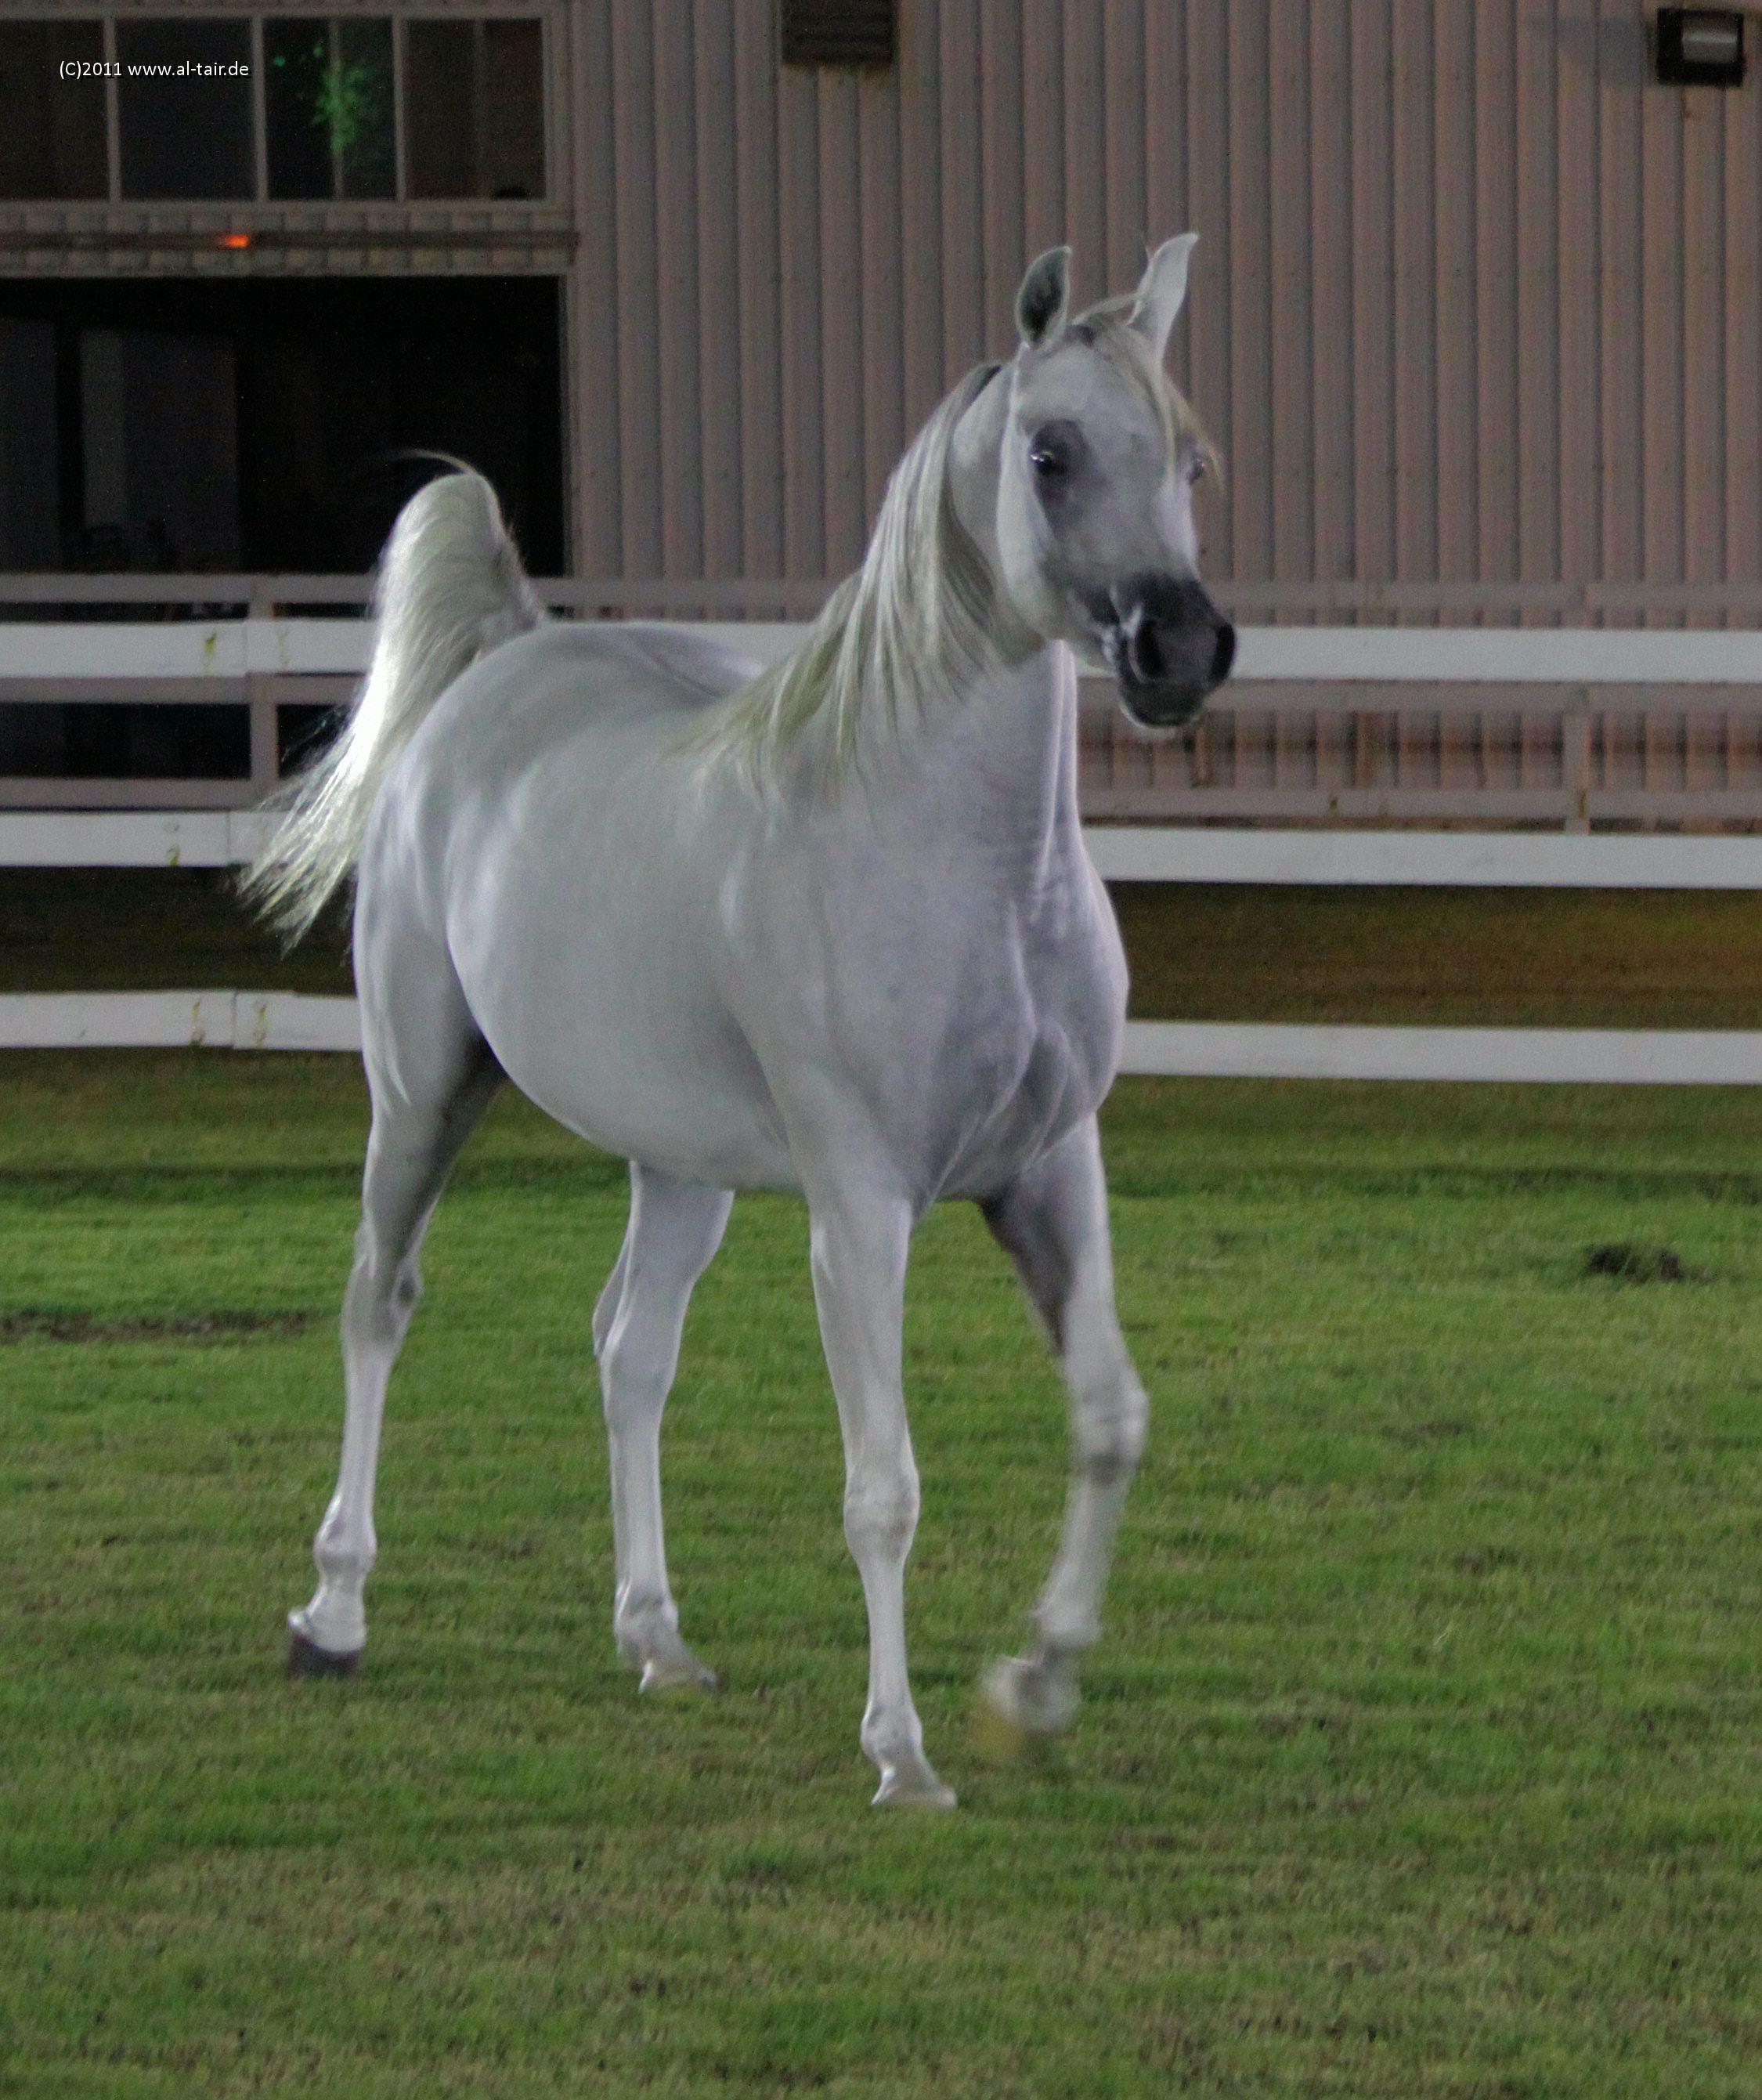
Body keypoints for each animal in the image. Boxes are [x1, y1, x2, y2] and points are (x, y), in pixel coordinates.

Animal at [250, 239, 1235, 1807]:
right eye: (1051, 450)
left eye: (1189, 459)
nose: (1180, 648)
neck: (962, 872)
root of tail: (501, 667)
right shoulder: (863, 1207)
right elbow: (884, 1487)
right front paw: (902, 1753)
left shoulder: (1049, 1175)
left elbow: (1109, 1418)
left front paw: (1030, 1688)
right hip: (420, 1092)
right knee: (376, 1305)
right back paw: (332, 1614)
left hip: (681, 1168)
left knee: (627, 1350)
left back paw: (657, 1639)